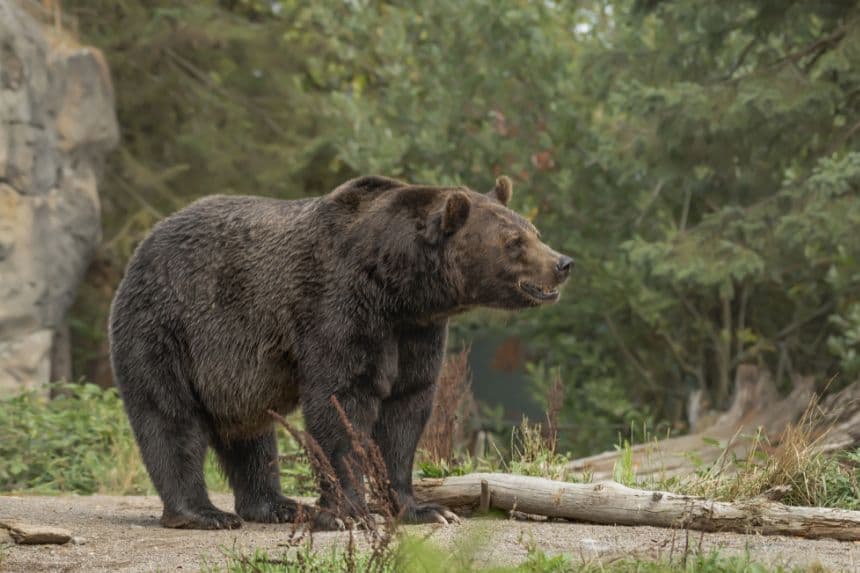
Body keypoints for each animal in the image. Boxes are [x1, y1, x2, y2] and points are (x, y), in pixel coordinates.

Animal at [108, 174, 573, 530]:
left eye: (534, 232)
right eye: (513, 241)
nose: (562, 263)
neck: (398, 287)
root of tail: (143, 246)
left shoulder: (416, 333)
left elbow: (406, 411)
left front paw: (424, 509)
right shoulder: (339, 308)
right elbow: (340, 404)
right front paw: (348, 512)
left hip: (233, 373)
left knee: (251, 435)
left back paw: (277, 505)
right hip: (168, 328)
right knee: (170, 418)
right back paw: (203, 514)